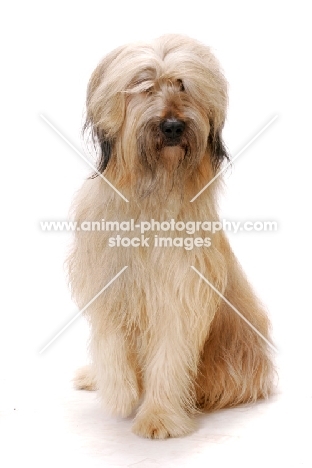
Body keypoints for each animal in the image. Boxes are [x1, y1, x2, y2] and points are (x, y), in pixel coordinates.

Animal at [67, 33, 274, 438]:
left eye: (183, 85)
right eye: (145, 86)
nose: (173, 126)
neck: (153, 192)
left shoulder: (180, 293)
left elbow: (169, 355)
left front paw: (159, 417)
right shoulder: (105, 279)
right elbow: (110, 341)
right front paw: (120, 391)